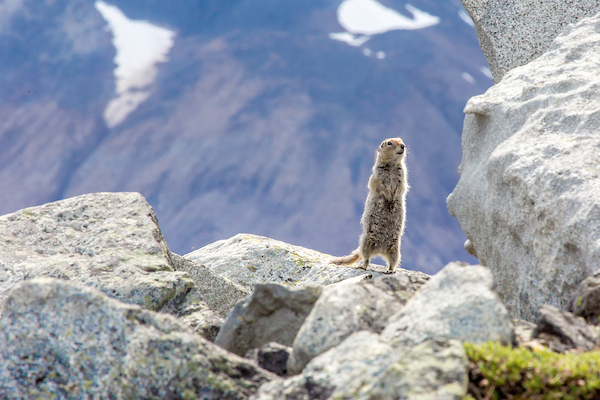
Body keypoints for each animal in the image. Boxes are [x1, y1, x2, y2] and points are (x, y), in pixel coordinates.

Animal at [330, 137, 410, 272]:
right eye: (389, 143)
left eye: (401, 140)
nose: (403, 146)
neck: (392, 165)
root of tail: (380, 250)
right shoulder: (378, 175)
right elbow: (380, 186)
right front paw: (388, 197)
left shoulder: (402, 175)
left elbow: (401, 187)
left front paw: (393, 198)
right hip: (366, 243)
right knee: (366, 258)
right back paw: (363, 266)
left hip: (395, 249)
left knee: (392, 261)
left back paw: (390, 270)